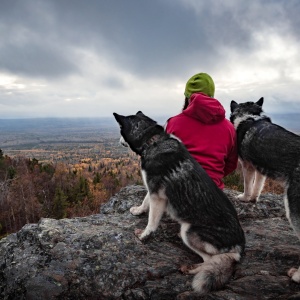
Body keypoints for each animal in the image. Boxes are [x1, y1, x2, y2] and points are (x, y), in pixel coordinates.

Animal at [113, 111, 245, 294]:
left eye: (120, 129)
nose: (118, 140)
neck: (152, 140)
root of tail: (240, 245)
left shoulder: (158, 196)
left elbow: (152, 221)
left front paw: (145, 235)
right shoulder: (153, 189)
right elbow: (145, 200)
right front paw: (139, 210)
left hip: (188, 231)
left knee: (211, 260)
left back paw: (192, 269)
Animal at [231, 97, 300, 282]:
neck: (250, 116)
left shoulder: (246, 165)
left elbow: (248, 185)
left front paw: (244, 198)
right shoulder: (261, 169)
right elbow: (258, 186)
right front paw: (253, 199)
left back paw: (297, 275)